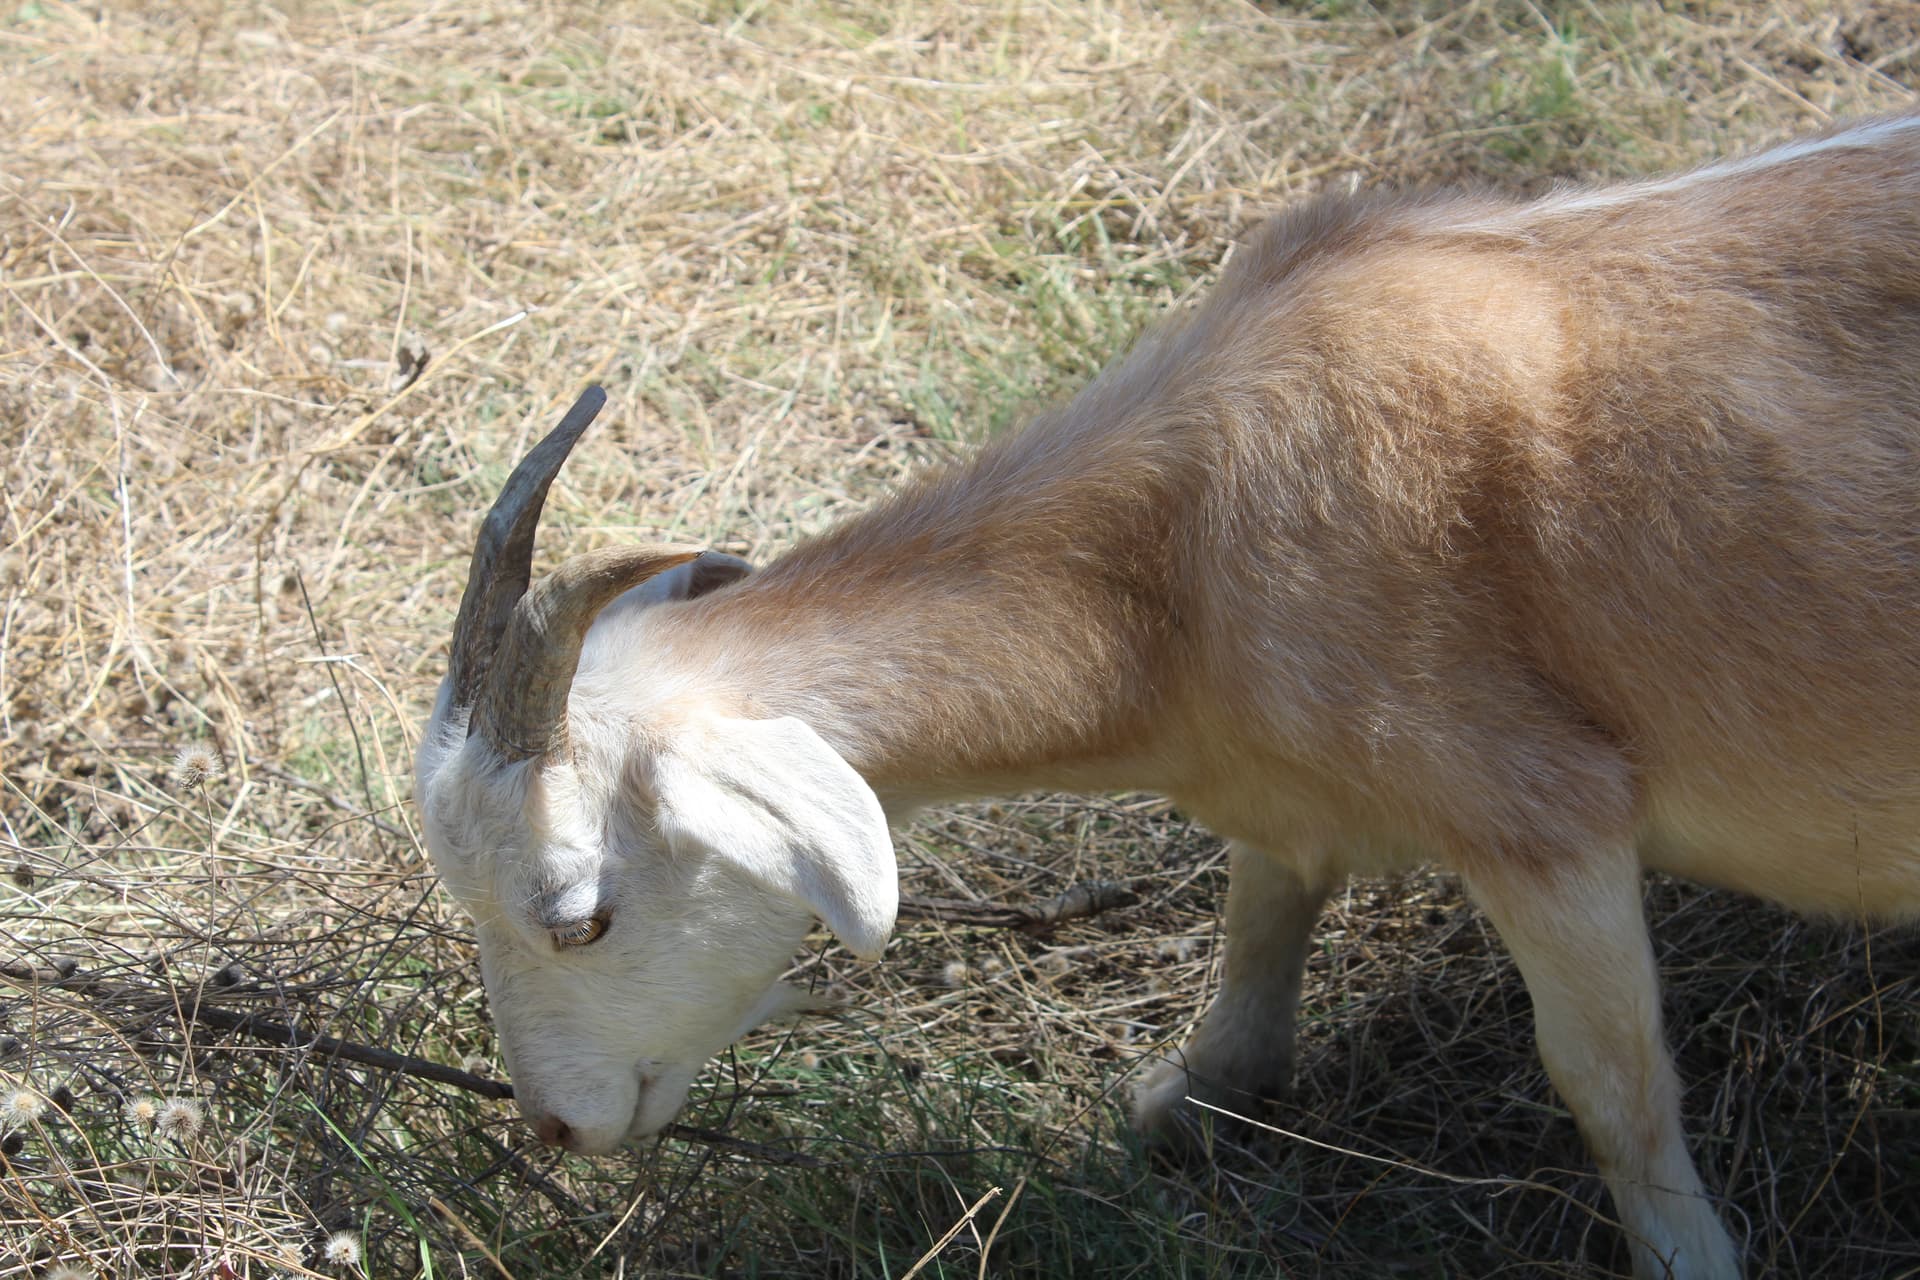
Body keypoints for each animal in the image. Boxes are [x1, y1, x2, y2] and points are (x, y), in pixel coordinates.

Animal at [414, 113, 1920, 1280]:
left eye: (579, 916)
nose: (552, 1127)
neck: (1184, 564)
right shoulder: (1286, 793)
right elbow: (1261, 920)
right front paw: (1194, 1094)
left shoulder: (1540, 812)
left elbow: (1611, 1086)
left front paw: (1693, 1256)